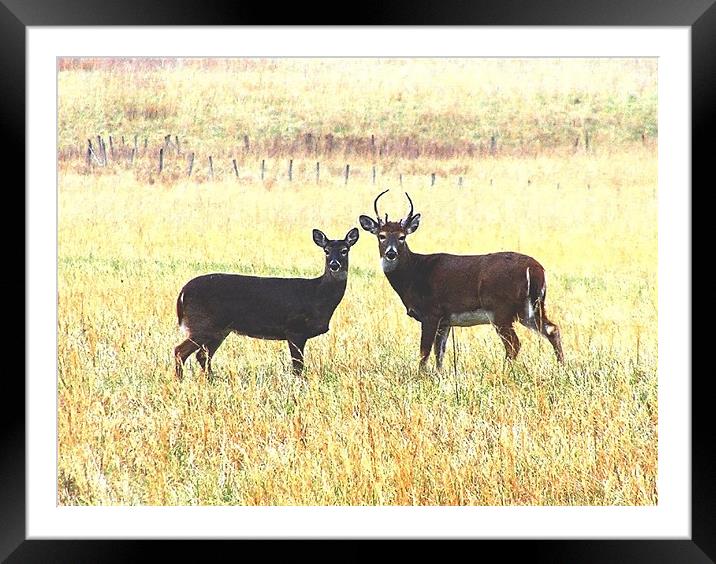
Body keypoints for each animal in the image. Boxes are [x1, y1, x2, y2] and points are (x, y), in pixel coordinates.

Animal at [360, 191, 564, 370]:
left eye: (402, 237)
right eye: (381, 236)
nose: (391, 253)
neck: (413, 273)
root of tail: (537, 270)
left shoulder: (431, 312)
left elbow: (424, 351)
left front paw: (421, 376)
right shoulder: (445, 320)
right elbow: (439, 352)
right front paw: (439, 375)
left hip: (501, 309)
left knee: (514, 343)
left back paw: (505, 372)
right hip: (529, 308)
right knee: (552, 329)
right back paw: (561, 367)